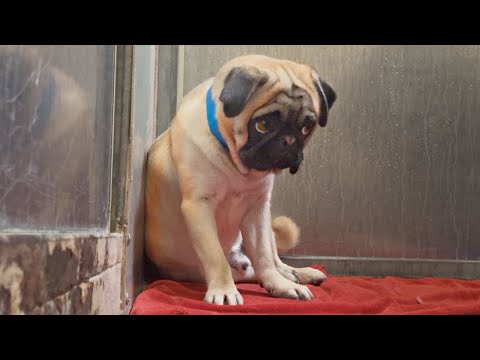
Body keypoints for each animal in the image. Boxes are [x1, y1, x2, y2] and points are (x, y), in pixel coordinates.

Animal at [144, 54, 336, 306]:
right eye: (262, 125)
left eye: (306, 127)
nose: (288, 140)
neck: (235, 164)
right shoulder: (199, 207)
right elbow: (215, 256)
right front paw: (224, 290)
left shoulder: (257, 210)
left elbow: (264, 257)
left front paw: (280, 285)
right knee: (248, 270)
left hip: (266, 223)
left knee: (273, 262)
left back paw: (294, 276)